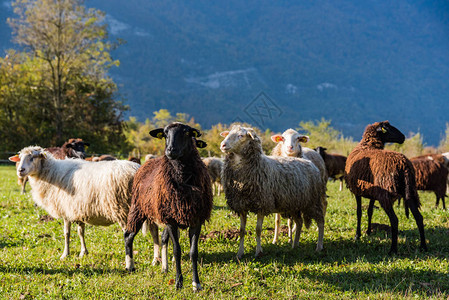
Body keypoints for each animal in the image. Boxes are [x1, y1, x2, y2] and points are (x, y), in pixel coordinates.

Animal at [9, 146, 140, 258]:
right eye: (20, 158)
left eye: (33, 157)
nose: (20, 170)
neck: (50, 174)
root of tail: (136, 169)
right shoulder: (78, 209)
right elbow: (80, 232)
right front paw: (83, 252)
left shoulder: (66, 209)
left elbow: (67, 233)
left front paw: (65, 254)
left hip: (123, 210)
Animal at [123, 122, 213, 290]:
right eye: (165, 134)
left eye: (186, 133)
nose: (170, 150)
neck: (183, 178)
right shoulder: (171, 220)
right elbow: (177, 250)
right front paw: (178, 282)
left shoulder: (196, 218)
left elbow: (193, 252)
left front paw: (196, 283)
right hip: (138, 208)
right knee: (128, 235)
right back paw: (130, 266)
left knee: (160, 238)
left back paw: (162, 268)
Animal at [218, 125, 326, 258]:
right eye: (228, 134)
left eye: (241, 135)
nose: (222, 145)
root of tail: (310, 163)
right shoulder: (241, 205)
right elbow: (242, 231)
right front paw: (240, 253)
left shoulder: (262, 204)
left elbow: (258, 230)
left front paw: (258, 252)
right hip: (294, 203)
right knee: (299, 222)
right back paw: (295, 245)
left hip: (313, 201)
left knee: (320, 221)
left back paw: (319, 246)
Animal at [344, 120, 426, 254]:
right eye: (387, 128)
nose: (403, 137)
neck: (367, 145)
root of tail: (404, 165)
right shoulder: (371, 192)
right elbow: (369, 211)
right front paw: (368, 232)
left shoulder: (358, 191)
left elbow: (359, 212)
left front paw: (357, 235)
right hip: (410, 191)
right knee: (419, 217)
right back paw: (423, 246)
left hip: (386, 195)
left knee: (394, 220)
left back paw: (393, 249)